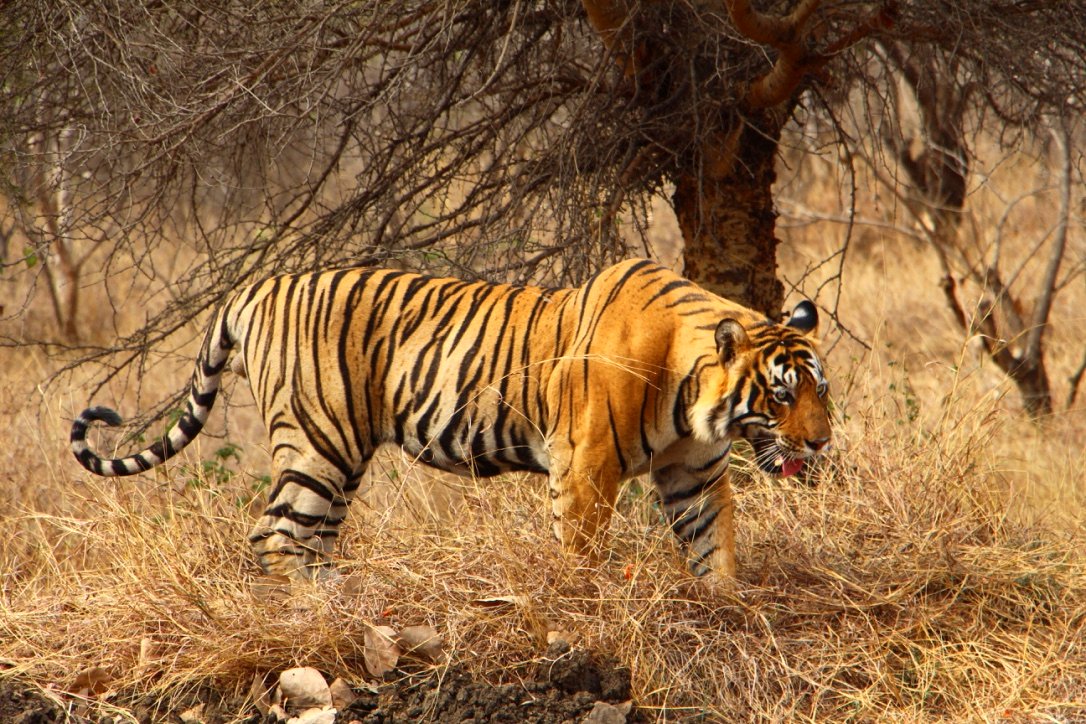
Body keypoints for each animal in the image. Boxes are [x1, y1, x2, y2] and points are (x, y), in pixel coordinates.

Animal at [70, 259, 829, 581]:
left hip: (341, 460)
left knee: (311, 538)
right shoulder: (586, 466)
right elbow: (582, 551)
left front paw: (727, 611)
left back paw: (341, 604)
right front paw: (586, 610)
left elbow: (713, 549)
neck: (698, 403)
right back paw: (313, 615)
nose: (822, 443)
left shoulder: (694, 477)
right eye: (781, 395)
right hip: (319, 442)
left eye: (822, 391)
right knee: (274, 534)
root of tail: (257, 285)